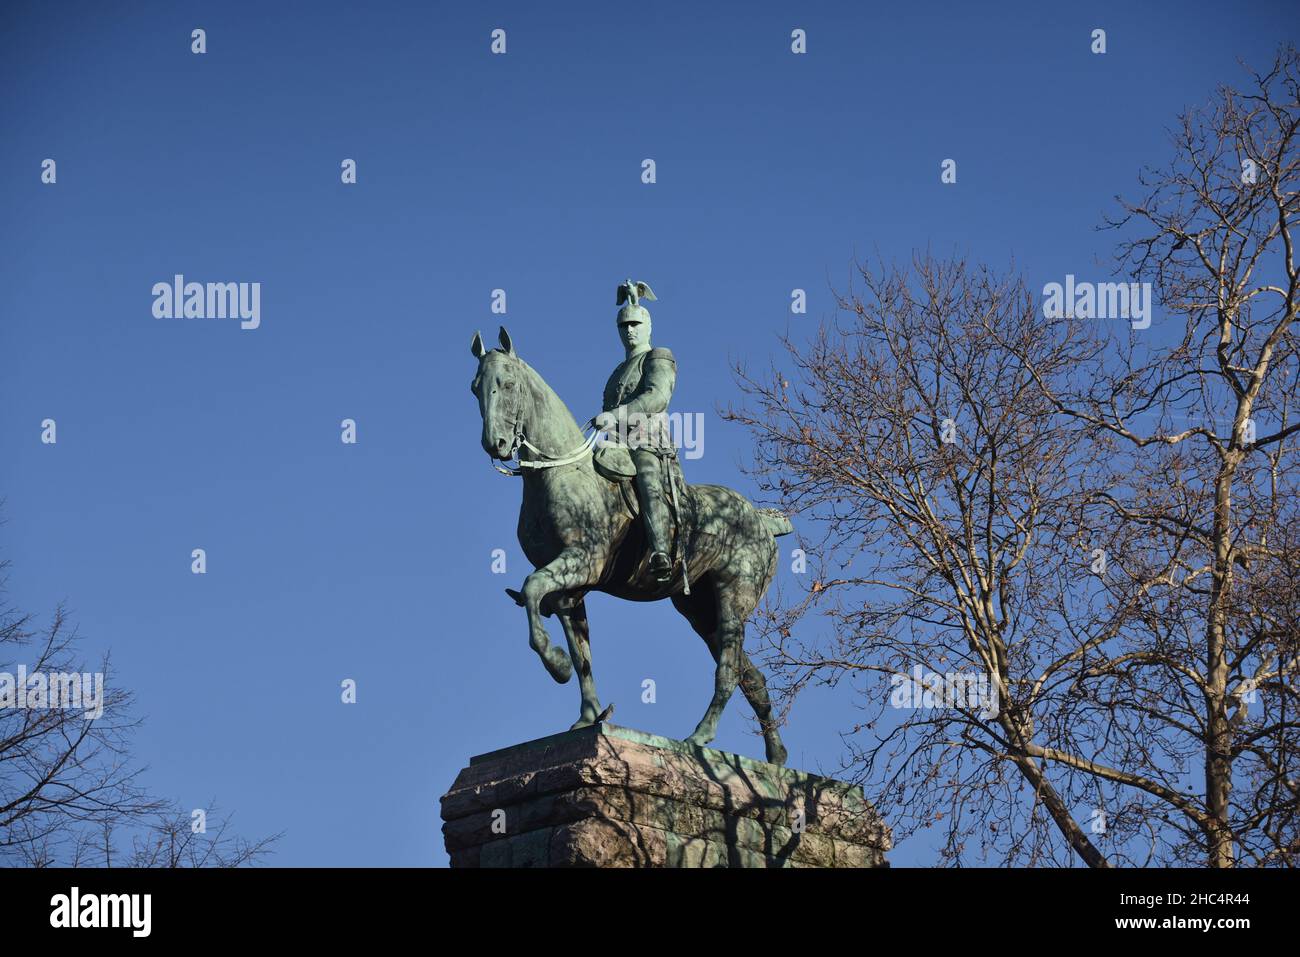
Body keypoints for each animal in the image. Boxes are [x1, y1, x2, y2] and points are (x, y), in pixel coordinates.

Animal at [467, 327, 790, 764]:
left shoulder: (581, 561)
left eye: (508, 383)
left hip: (731, 600)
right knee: (750, 675)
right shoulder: (569, 589)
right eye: (475, 387)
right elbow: (581, 653)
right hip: (698, 609)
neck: (561, 474)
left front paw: (556, 665)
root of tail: (761, 520)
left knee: (727, 669)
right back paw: (775, 758)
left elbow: (532, 589)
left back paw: (700, 738)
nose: (495, 443)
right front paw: (589, 716)